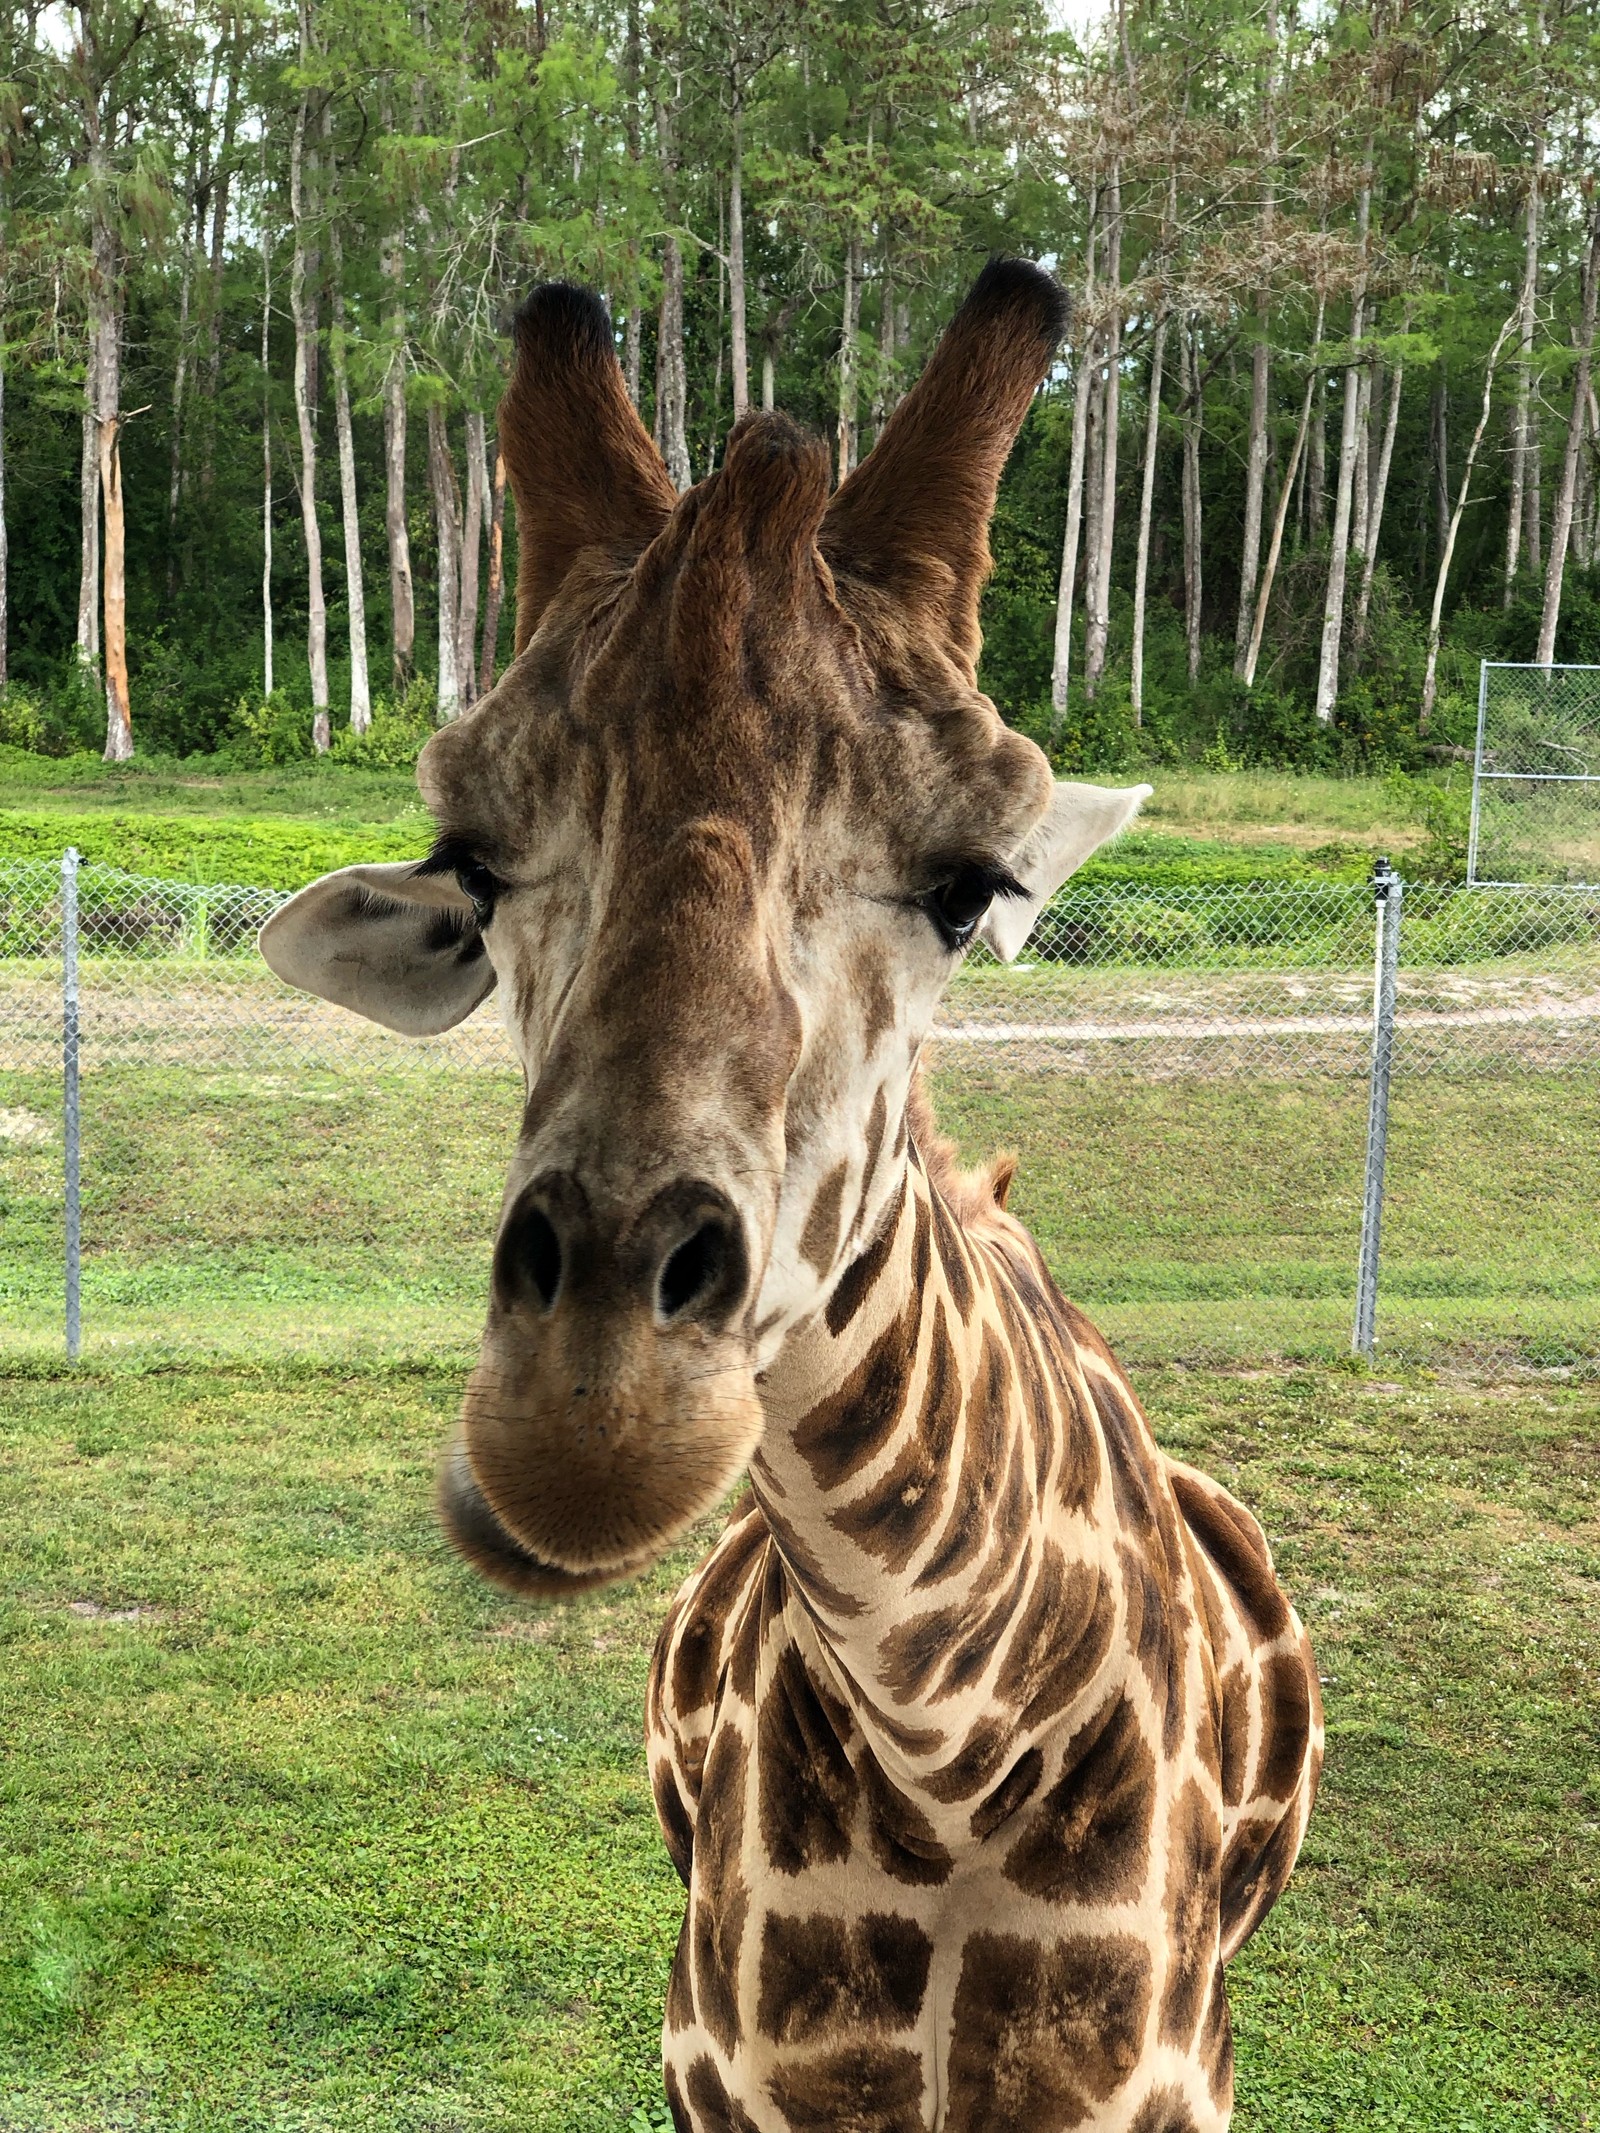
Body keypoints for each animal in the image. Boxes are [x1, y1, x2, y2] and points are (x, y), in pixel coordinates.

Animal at [260, 262, 1314, 2133]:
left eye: (970, 890)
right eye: (474, 869)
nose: (588, 1417)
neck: (950, 1745)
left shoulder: (1162, 2082)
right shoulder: (720, 2067)